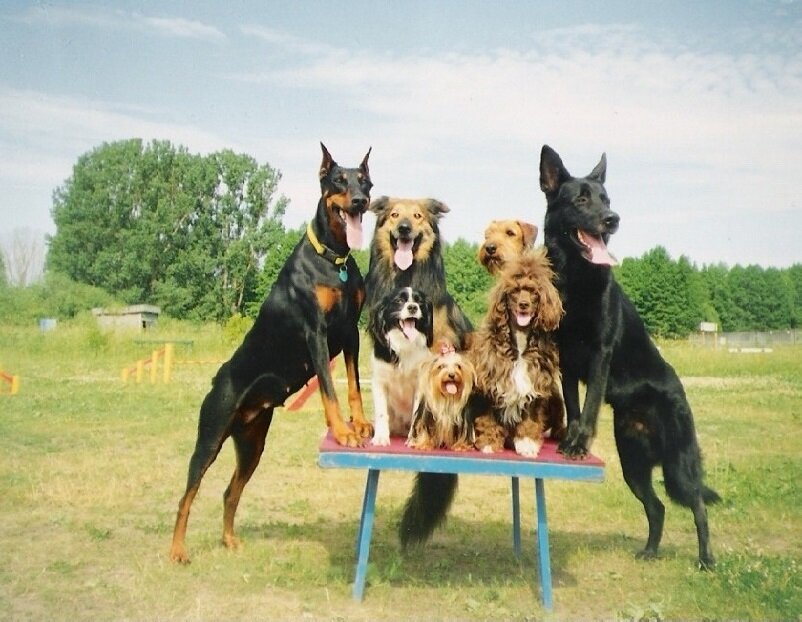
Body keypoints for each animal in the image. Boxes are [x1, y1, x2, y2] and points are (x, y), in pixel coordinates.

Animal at [170, 144, 376, 568]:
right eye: (338, 181)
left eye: (365, 181)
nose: (360, 201)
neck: (333, 258)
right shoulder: (316, 333)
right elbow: (330, 390)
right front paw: (344, 431)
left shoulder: (350, 332)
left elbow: (353, 386)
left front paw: (361, 423)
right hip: (210, 437)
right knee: (187, 496)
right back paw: (178, 550)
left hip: (252, 445)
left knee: (230, 492)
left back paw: (229, 540)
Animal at [536, 145, 720, 572]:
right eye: (581, 199)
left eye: (607, 199)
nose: (612, 220)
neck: (576, 278)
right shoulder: (566, 360)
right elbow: (573, 406)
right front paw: (570, 441)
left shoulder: (599, 354)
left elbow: (588, 407)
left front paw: (579, 444)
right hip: (633, 466)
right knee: (657, 508)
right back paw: (650, 551)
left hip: (678, 465)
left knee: (698, 505)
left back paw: (706, 559)